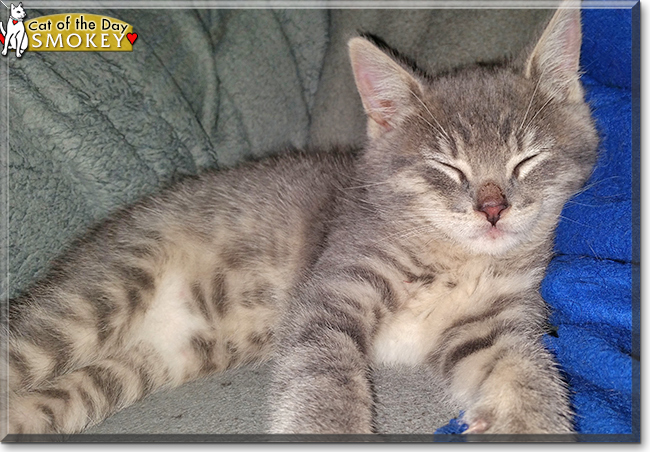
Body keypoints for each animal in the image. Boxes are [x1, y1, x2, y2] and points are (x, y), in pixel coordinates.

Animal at [3, 1, 596, 436]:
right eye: (447, 167)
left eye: (527, 159)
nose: (493, 209)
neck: (459, 257)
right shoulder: (334, 285)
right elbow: (323, 370)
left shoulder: (490, 322)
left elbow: (530, 371)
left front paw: (533, 421)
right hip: (100, 293)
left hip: (132, 366)